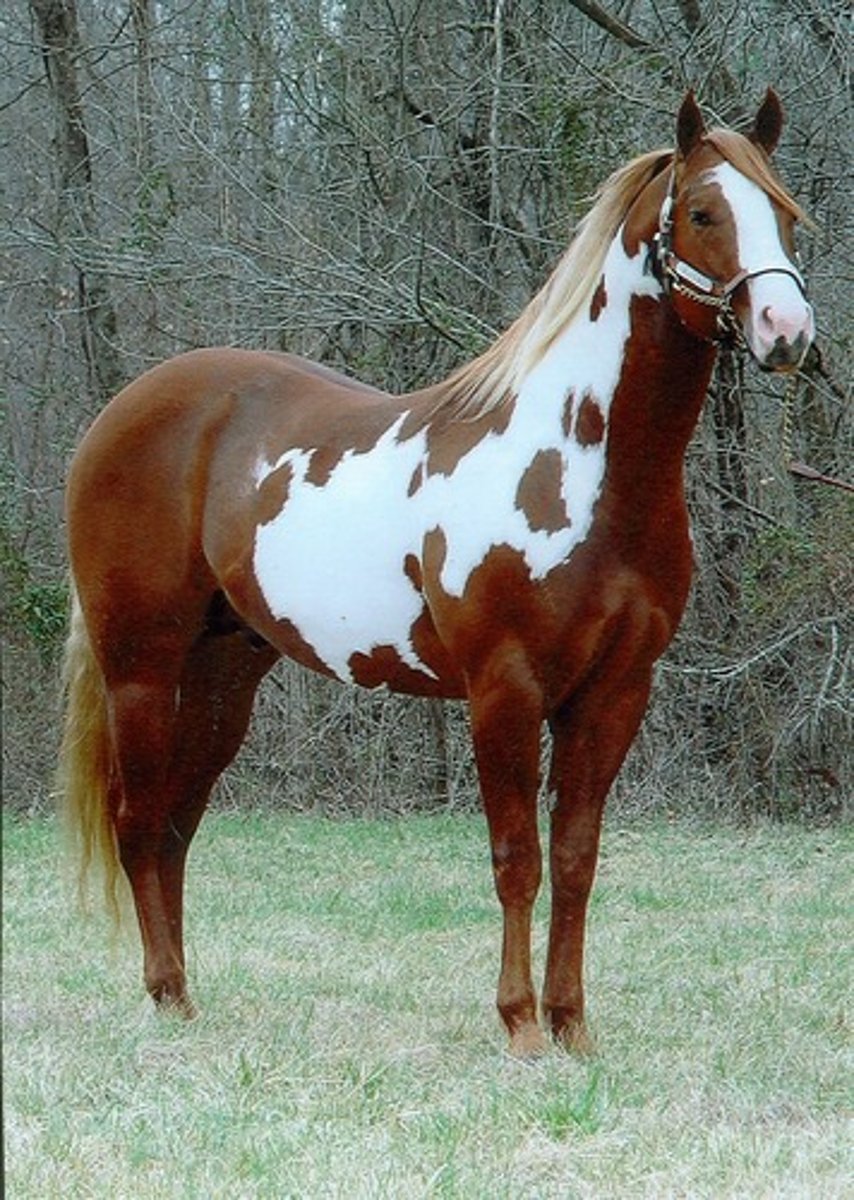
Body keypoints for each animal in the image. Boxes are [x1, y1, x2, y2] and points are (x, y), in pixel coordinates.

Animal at [61, 88, 815, 1056]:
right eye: (703, 214)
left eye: (786, 216)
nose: (786, 332)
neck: (582, 467)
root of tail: (123, 412)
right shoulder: (504, 688)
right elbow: (516, 860)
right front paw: (521, 1026)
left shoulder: (615, 692)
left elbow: (576, 860)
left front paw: (572, 1027)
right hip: (142, 669)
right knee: (137, 820)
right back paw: (161, 994)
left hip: (225, 674)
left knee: (175, 827)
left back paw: (185, 1000)